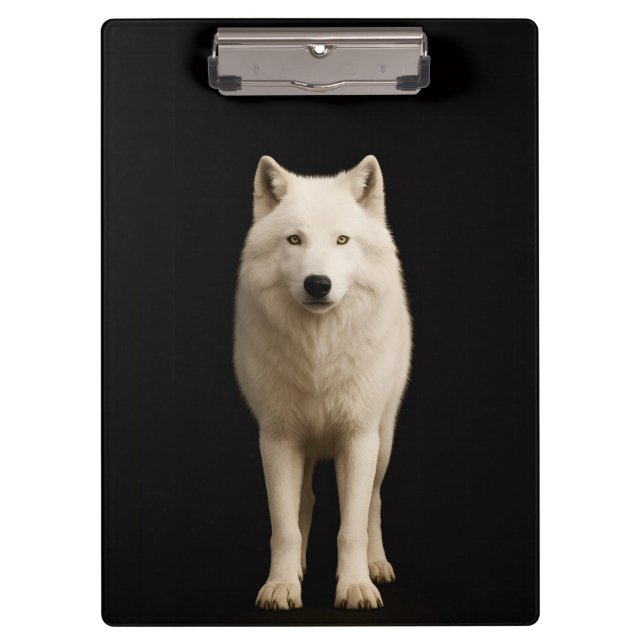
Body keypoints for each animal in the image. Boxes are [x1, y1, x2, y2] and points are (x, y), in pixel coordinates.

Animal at [233, 154, 412, 610]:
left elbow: (351, 528)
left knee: (373, 504)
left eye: (342, 240)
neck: (319, 354)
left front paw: (355, 586)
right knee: (306, 501)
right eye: (294, 240)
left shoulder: (359, 438)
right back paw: (297, 569)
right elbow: (284, 526)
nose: (317, 284)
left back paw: (376, 565)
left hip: (383, 441)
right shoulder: (276, 440)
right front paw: (280, 585)